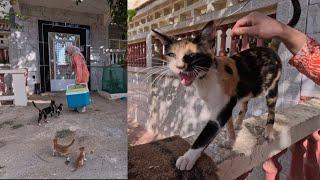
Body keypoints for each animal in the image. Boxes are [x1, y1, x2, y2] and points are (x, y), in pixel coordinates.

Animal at [152, 0, 300, 171]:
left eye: (191, 55)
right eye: (171, 54)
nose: (179, 67)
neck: (205, 78)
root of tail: (269, 48)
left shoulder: (219, 112)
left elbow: (204, 136)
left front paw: (188, 157)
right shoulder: (222, 104)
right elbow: (228, 124)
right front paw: (231, 140)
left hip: (272, 89)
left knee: (271, 112)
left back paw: (268, 132)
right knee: (245, 105)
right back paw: (239, 123)